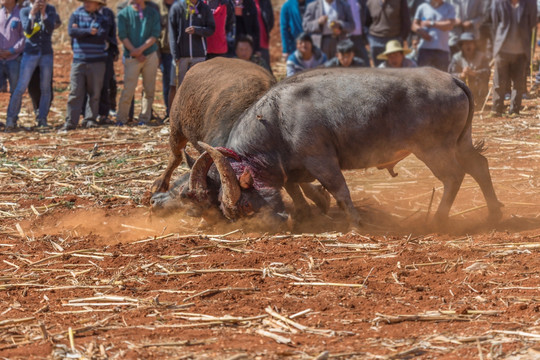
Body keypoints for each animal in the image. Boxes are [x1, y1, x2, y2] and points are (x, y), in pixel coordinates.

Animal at [189, 66, 502, 226]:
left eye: (243, 206)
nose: (276, 223)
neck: (276, 119)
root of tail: (451, 77)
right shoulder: (292, 168)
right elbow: (296, 187)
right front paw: (308, 210)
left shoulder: (321, 160)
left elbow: (339, 190)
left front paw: (354, 221)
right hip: (461, 143)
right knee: (480, 166)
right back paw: (494, 213)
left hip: (434, 150)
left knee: (454, 176)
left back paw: (437, 219)